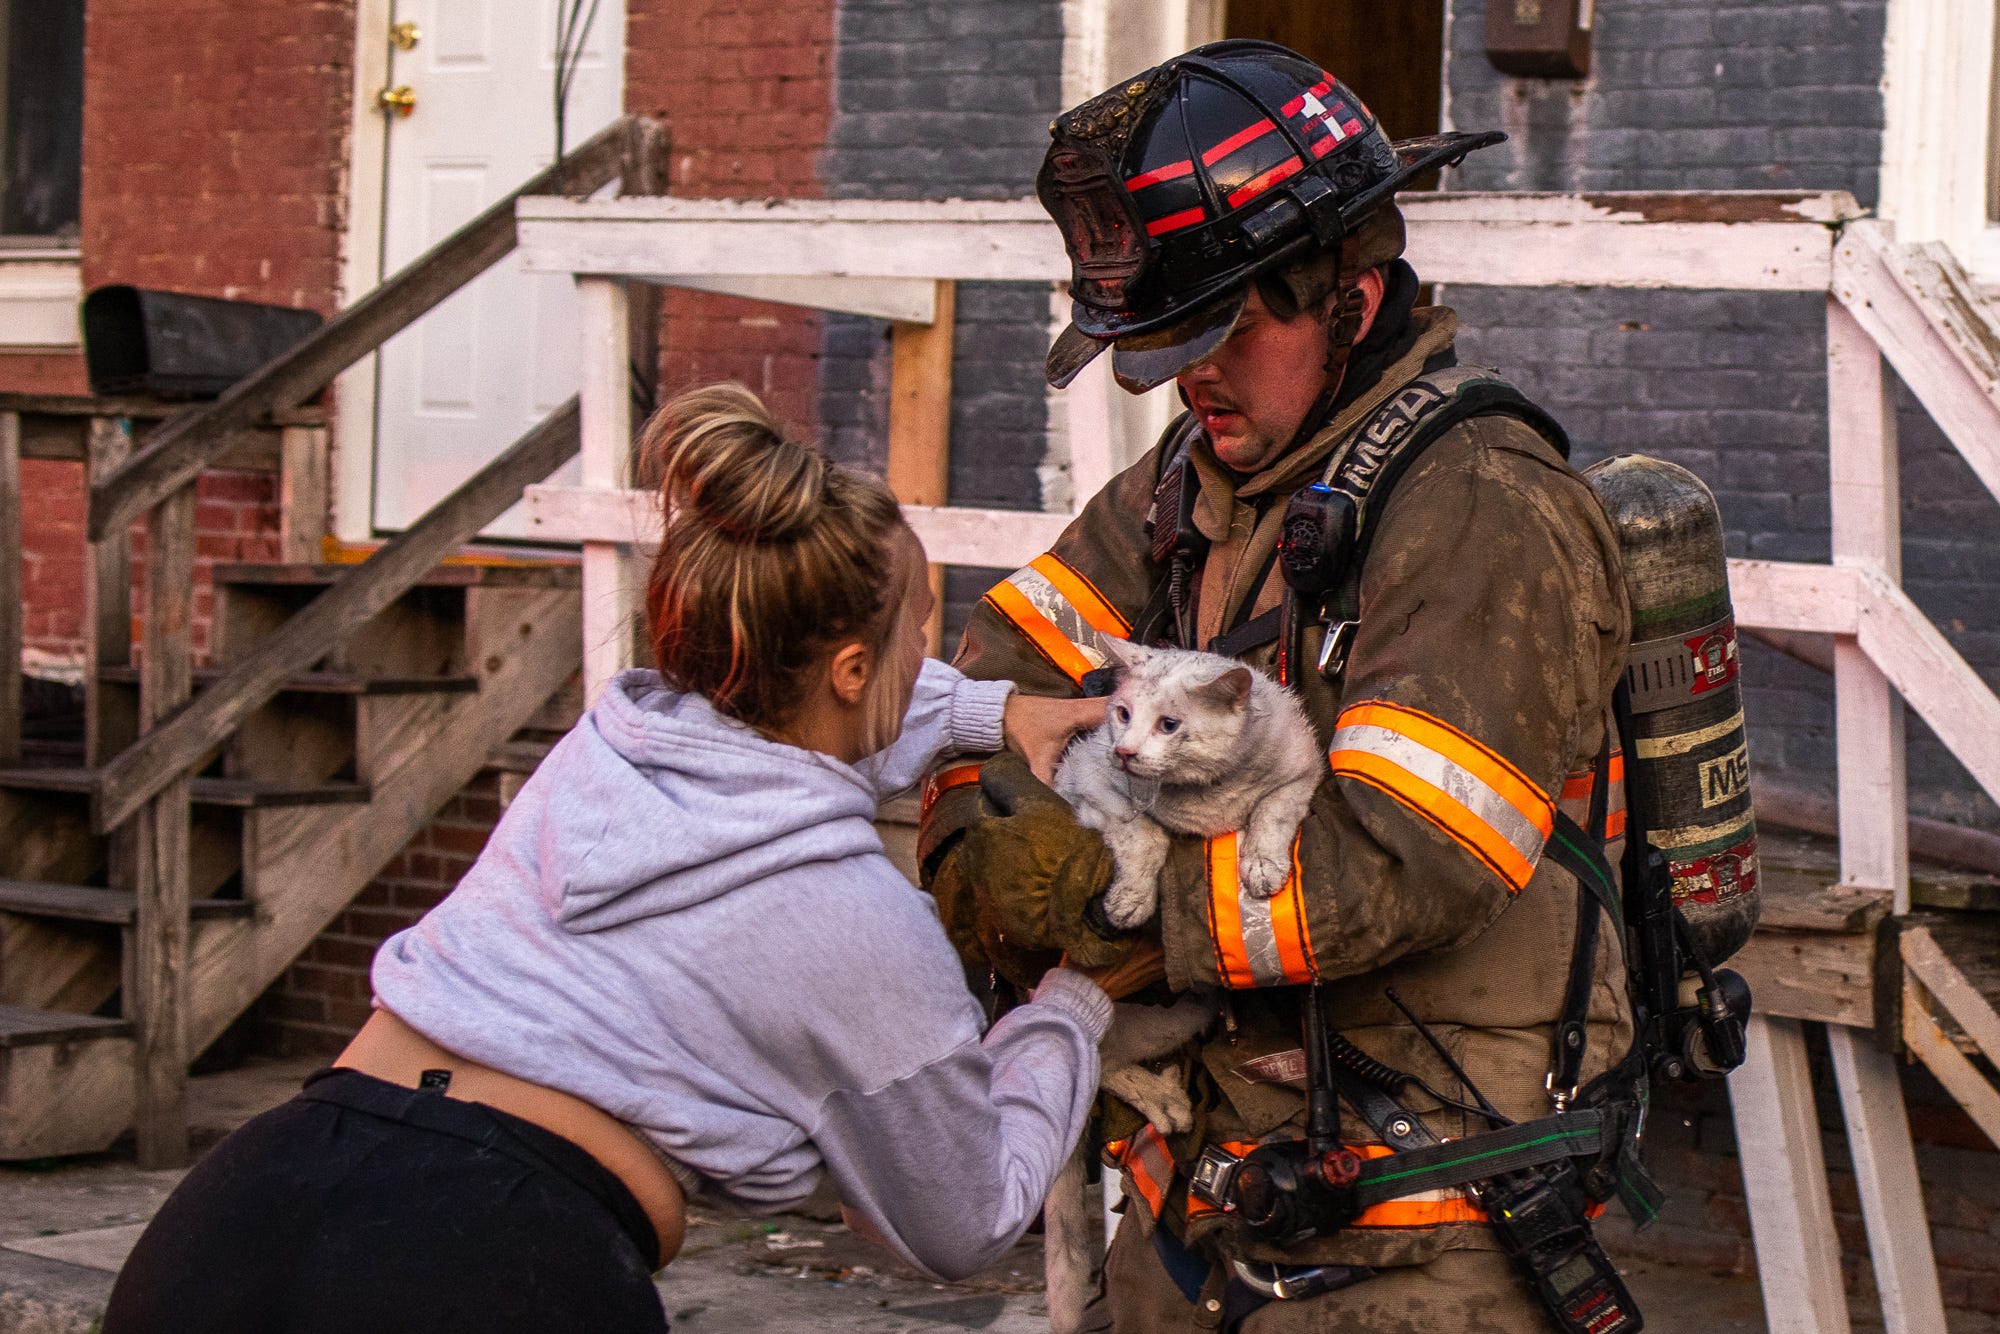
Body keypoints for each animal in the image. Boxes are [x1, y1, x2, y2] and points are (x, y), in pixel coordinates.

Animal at [1056, 636, 1320, 928]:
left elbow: (1271, 813)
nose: (1123, 752)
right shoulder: (1089, 776)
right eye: (1123, 714)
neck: (1208, 791)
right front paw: (1132, 898)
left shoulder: (1303, 769)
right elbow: (1145, 837)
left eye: (1169, 725)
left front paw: (1262, 864)